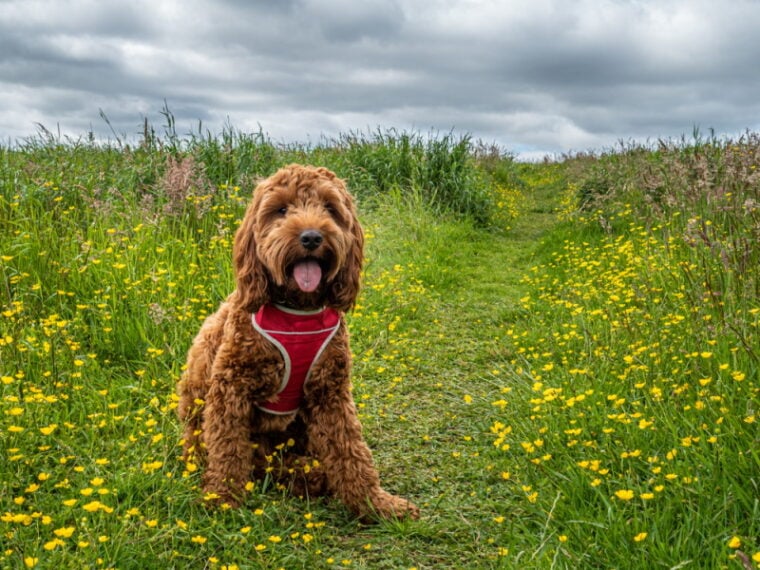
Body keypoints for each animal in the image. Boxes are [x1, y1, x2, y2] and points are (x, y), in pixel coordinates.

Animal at [177, 164, 418, 520]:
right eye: (281, 210)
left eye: (330, 208)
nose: (312, 237)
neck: (297, 311)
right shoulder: (230, 388)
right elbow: (227, 449)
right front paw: (221, 498)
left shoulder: (330, 391)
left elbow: (351, 451)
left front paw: (375, 503)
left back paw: (308, 474)